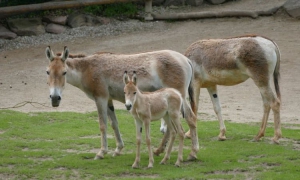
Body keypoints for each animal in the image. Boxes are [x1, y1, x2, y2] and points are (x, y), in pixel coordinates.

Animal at [45, 46, 199, 160]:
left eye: (64, 72)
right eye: (47, 72)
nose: (54, 98)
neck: (88, 69)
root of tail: (185, 59)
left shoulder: (100, 98)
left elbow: (103, 125)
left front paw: (101, 152)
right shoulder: (108, 100)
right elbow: (114, 123)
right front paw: (118, 149)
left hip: (180, 96)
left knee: (190, 118)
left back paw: (193, 152)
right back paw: (159, 150)